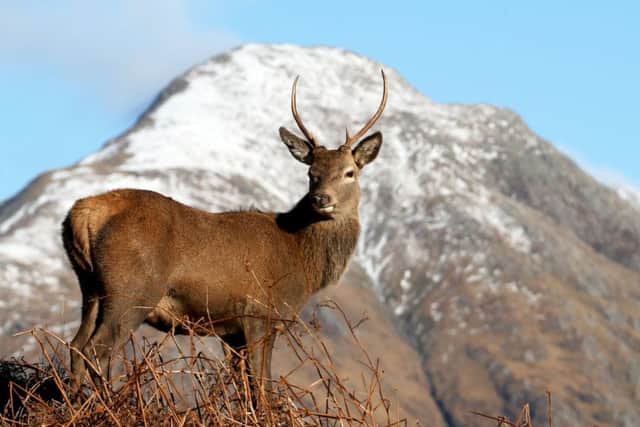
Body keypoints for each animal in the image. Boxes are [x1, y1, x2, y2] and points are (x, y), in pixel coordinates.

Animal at [62, 70, 388, 397]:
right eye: (312, 174)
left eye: (349, 172)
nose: (320, 199)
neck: (302, 262)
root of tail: (84, 213)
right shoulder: (259, 314)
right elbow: (262, 386)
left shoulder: (232, 331)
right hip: (132, 289)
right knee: (97, 348)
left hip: (90, 286)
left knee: (76, 344)